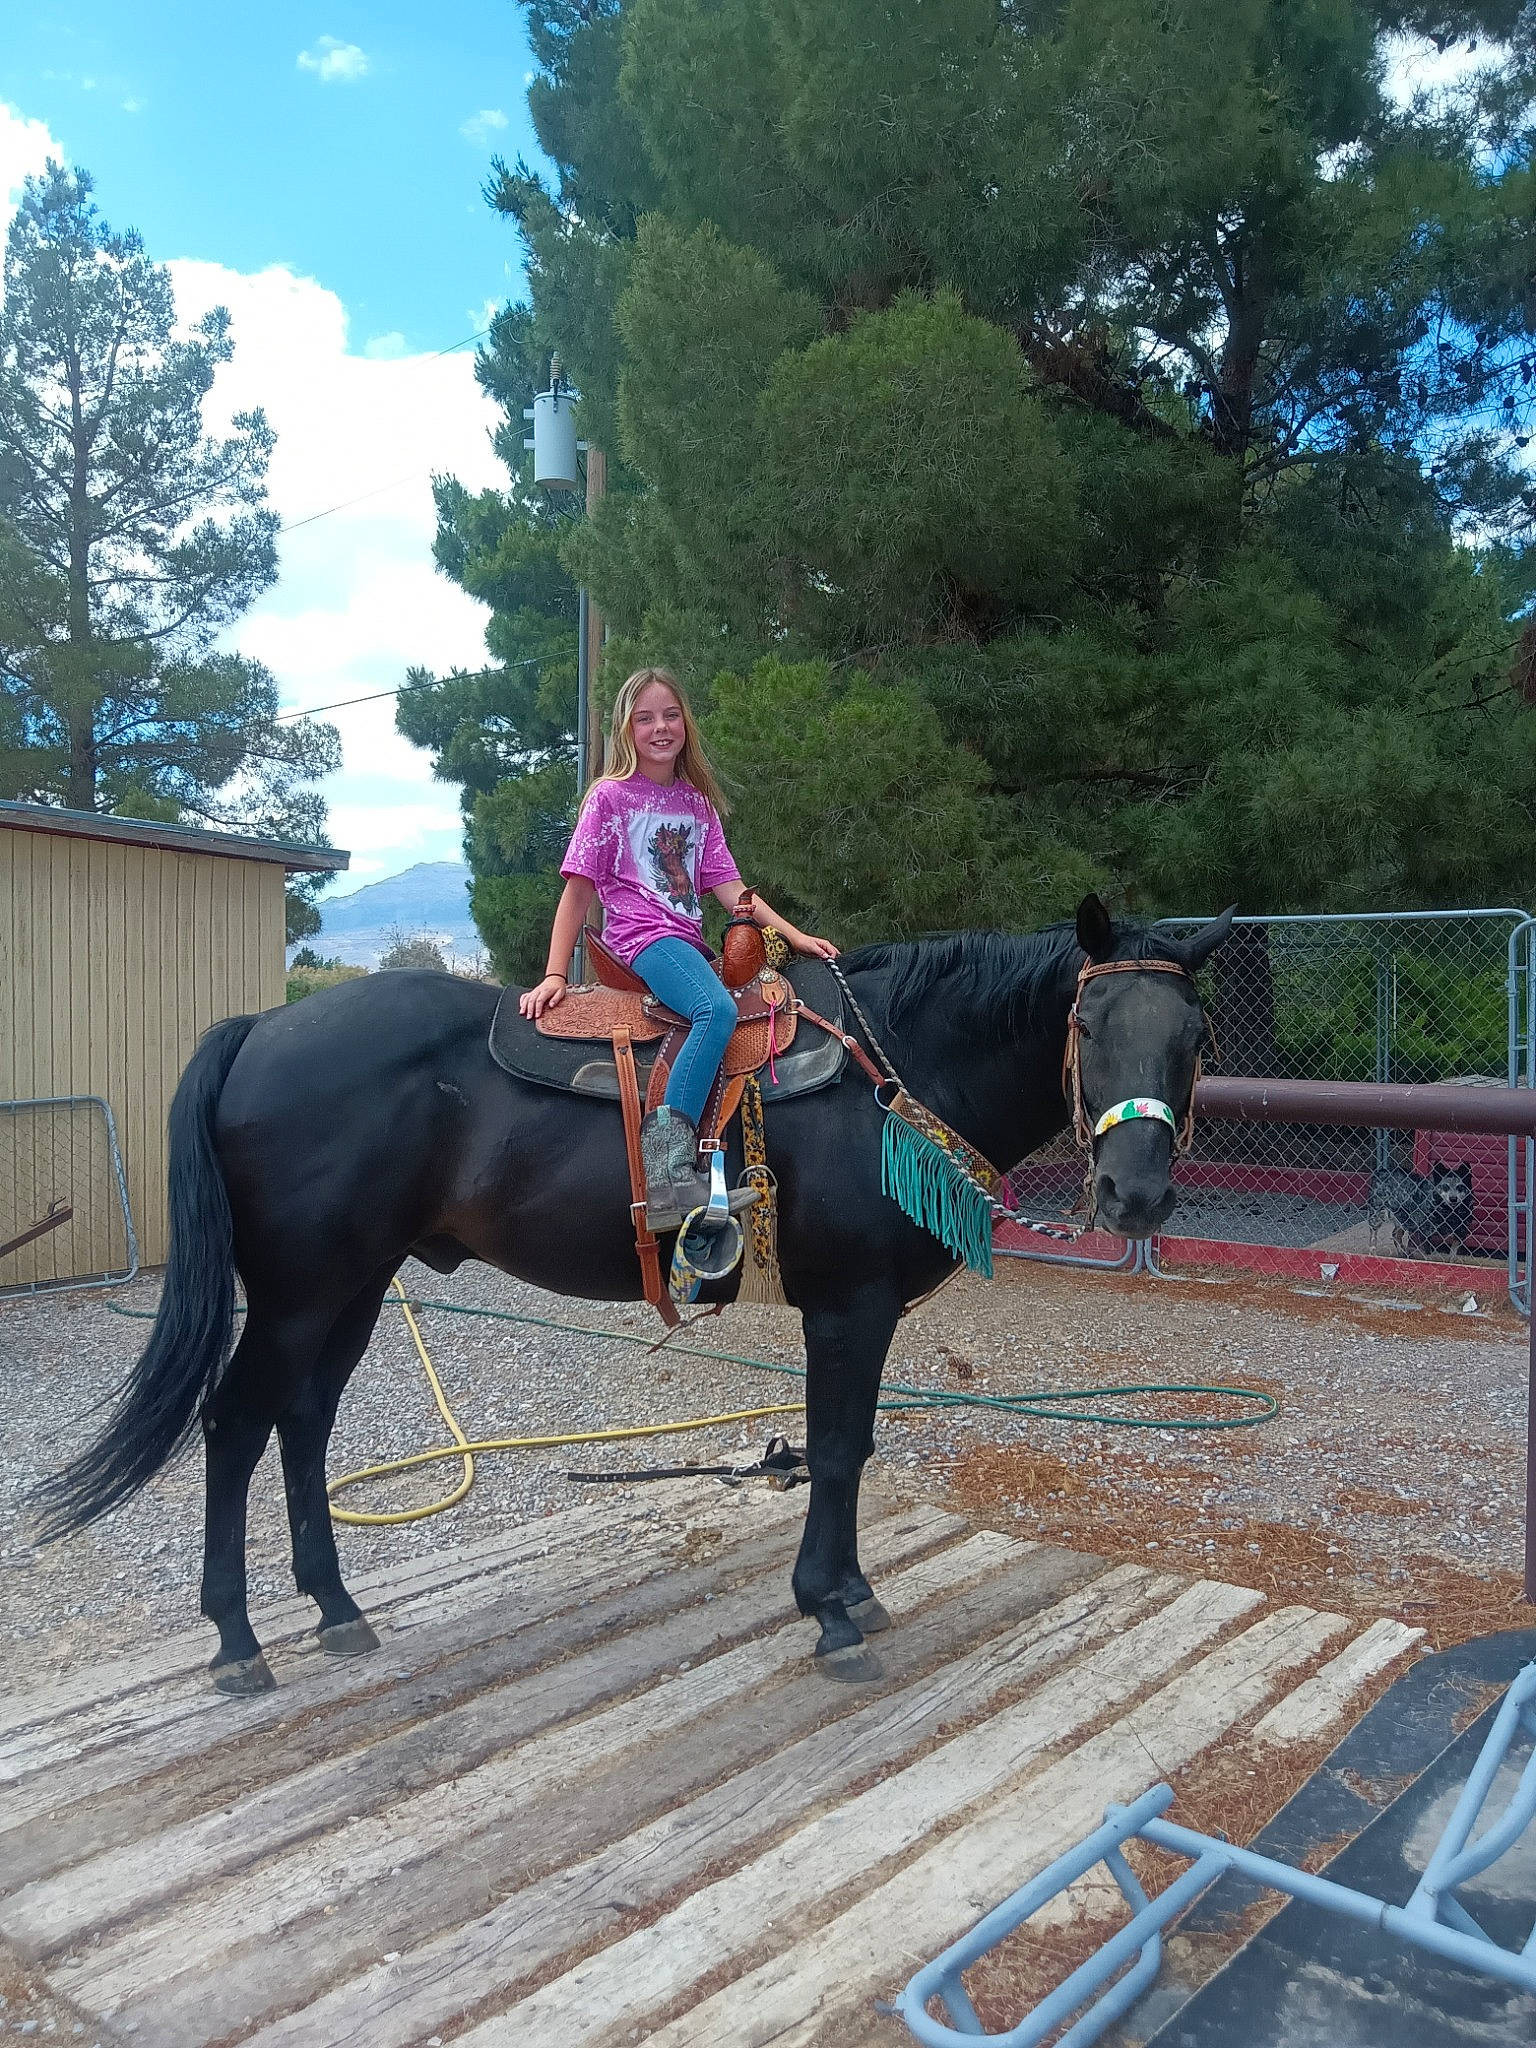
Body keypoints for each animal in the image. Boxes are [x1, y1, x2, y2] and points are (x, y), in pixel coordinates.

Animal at [38, 894, 1232, 1691]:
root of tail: (262, 1027)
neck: (892, 1073)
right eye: (1088, 1026)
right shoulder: (848, 1306)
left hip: (355, 1287)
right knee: (238, 1423)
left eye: (1192, 1036)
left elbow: (847, 1447)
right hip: (298, 1291)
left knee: (303, 1420)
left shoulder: (865, 1311)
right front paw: (829, 1609)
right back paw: (238, 1640)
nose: (1136, 1195)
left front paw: (849, 1591)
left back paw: (333, 1605)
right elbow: (836, 1450)